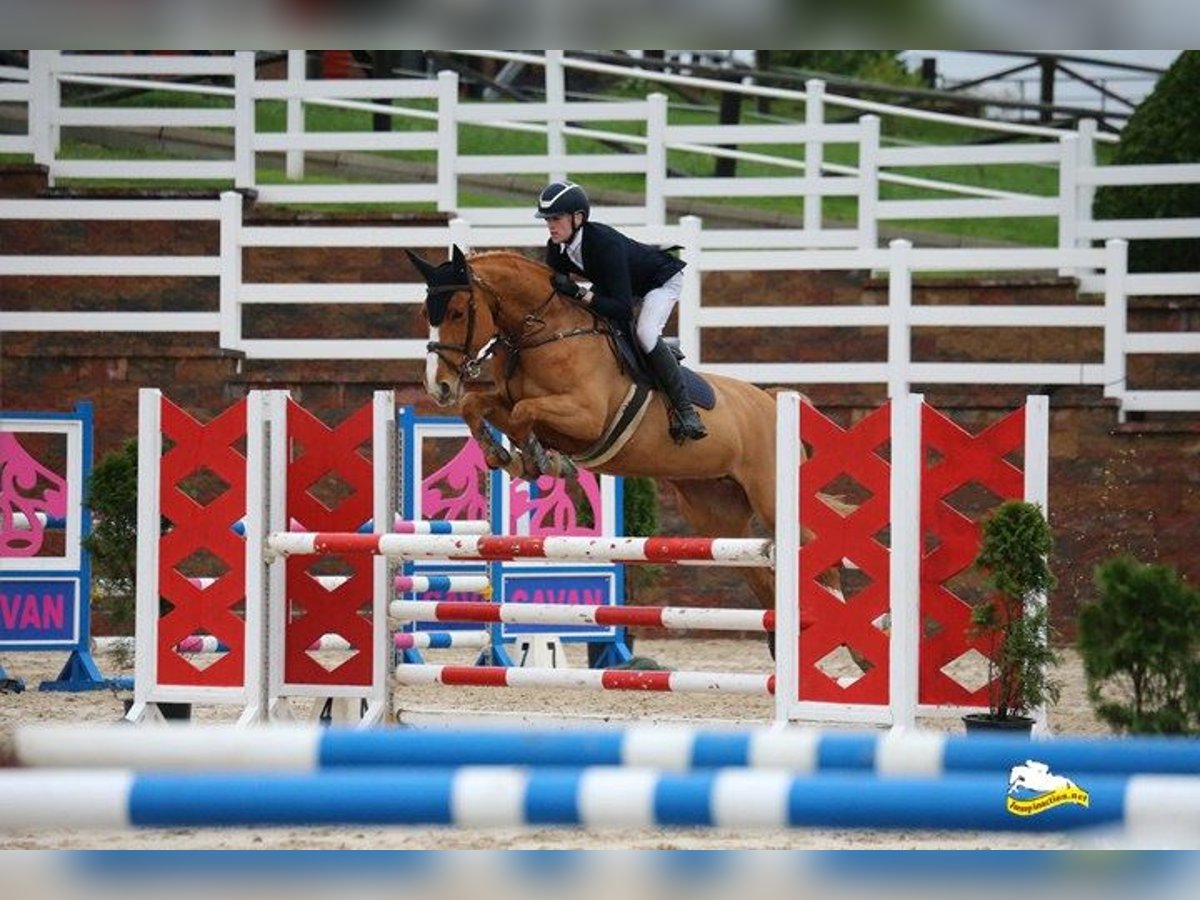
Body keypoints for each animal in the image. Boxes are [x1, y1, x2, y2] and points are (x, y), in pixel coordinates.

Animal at [406, 245, 842, 626]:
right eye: (425, 312)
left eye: (457, 312)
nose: (437, 386)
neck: (545, 333)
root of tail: (771, 399)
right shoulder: (505, 398)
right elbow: (478, 406)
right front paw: (504, 455)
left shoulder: (586, 417)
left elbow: (522, 413)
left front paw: (538, 458)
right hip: (717, 514)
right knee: (764, 579)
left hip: (772, 496)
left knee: (820, 553)